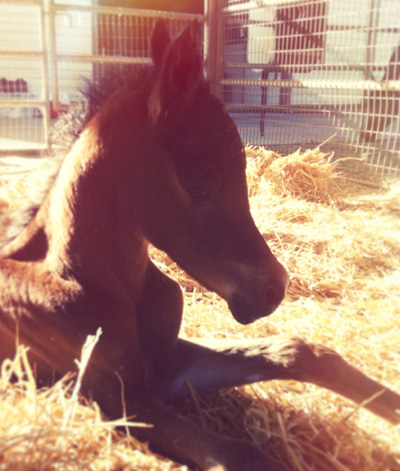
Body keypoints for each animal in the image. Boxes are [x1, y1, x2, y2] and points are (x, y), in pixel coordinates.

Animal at [0, 20, 399, 471]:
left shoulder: (167, 366)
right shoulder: (113, 397)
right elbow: (239, 453)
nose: (273, 289)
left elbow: (297, 351)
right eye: (201, 186)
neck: (89, 278)